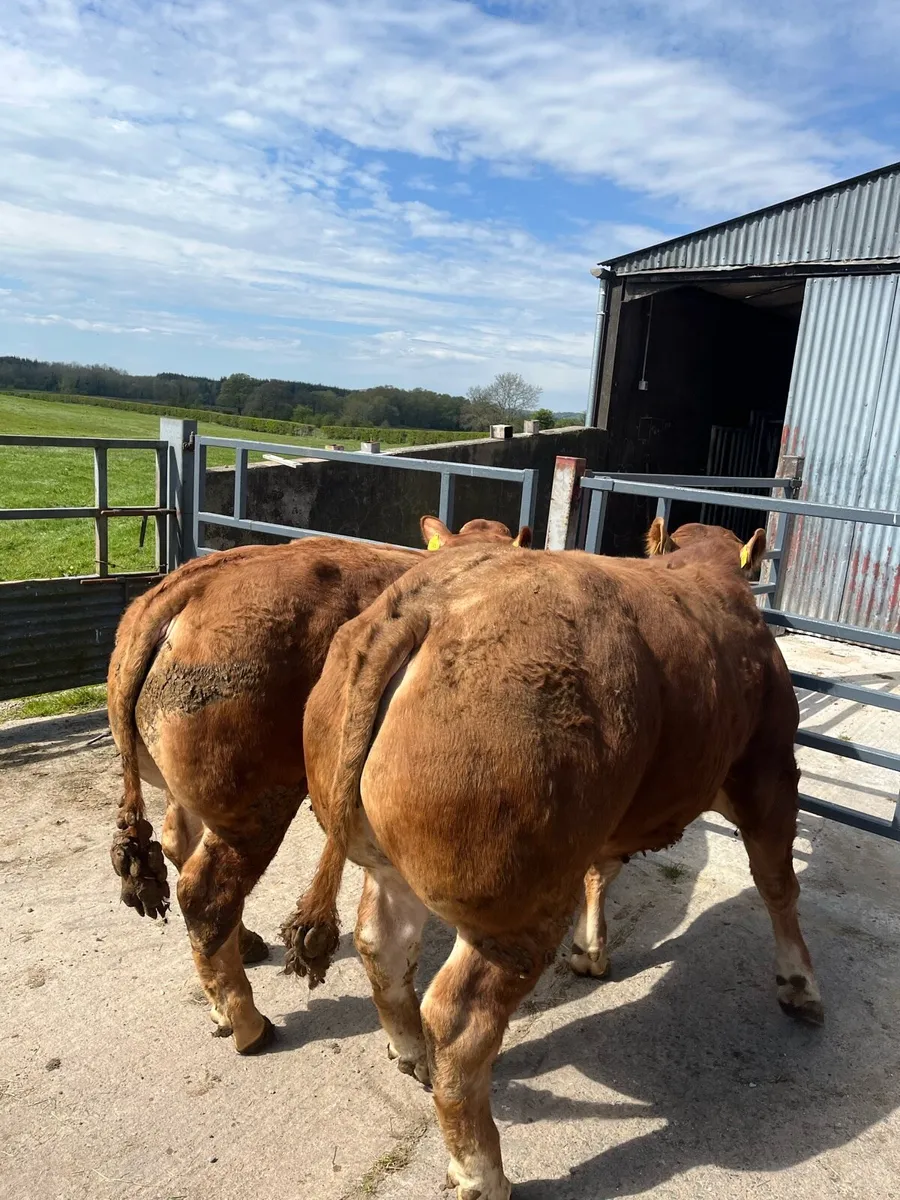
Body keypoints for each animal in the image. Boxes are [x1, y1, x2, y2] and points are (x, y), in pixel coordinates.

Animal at [107, 515, 530, 1055]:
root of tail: (187, 585)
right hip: (257, 807)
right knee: (205, 893)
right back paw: (247, 1022)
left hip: (193, 794)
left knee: (182, 847)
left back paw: (239, 957)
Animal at [285, 519, 820, 1199]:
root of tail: (428, 602)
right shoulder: (769, 769)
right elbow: (777, 882)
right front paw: (800, 984)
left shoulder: (611, 819)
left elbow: (603, 870)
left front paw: (591, 950)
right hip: (517, 906)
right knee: (461, 1021)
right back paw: (483, 1171)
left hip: (393, 864)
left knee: (383, 945)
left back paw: (411, 1055)